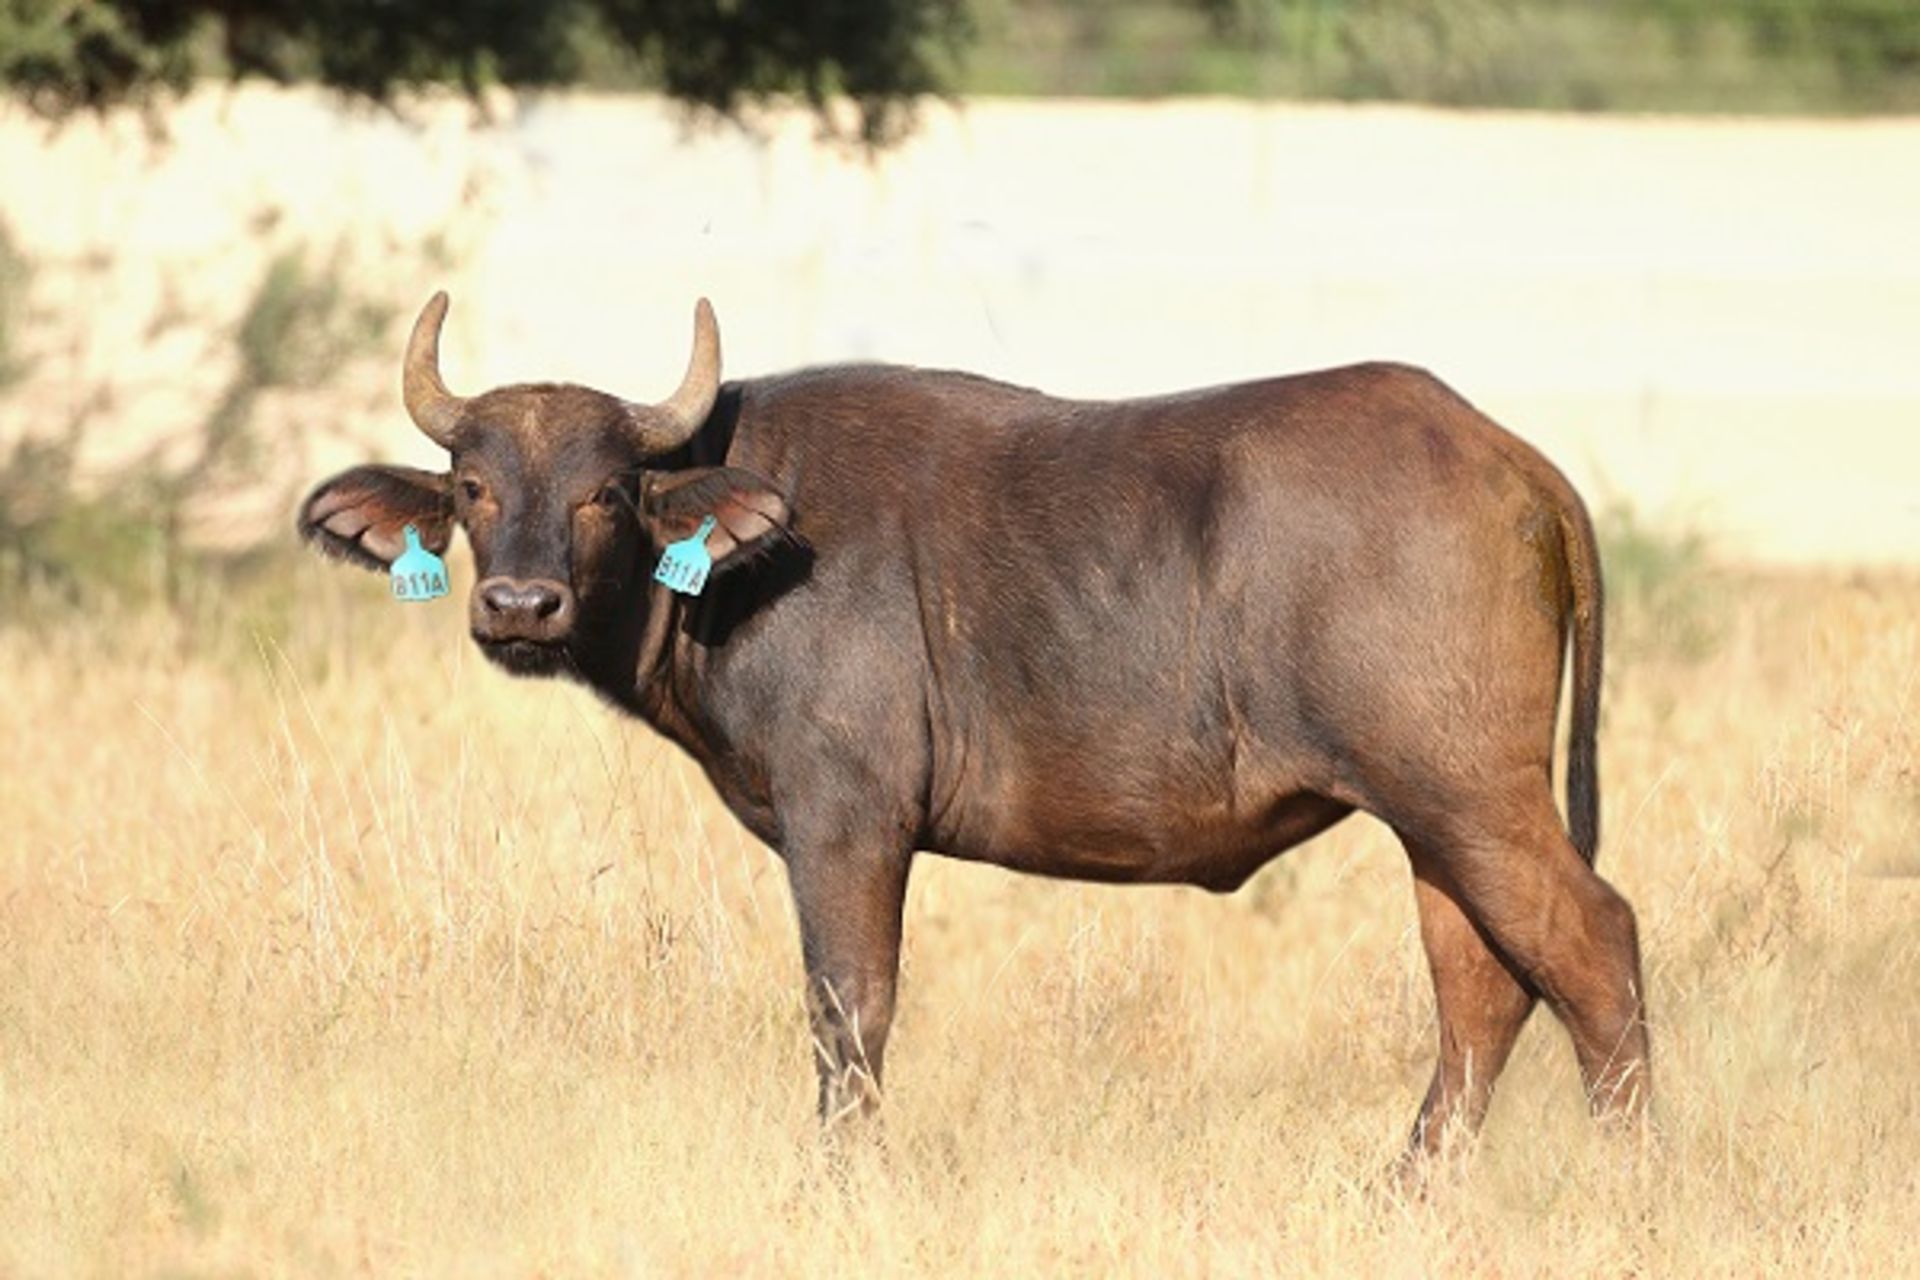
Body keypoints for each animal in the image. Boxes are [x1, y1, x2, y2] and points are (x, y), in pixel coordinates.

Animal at [299, 295, 1651, 1159]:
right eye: (475, 483)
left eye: (606, 491)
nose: (521, 605)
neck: (739, 560)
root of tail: (1510, 458)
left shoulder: (846, 820)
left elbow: (848, 1011)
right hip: (1436, 813)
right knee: (1481, 987)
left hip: (1466, 791)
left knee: (1592, 945)